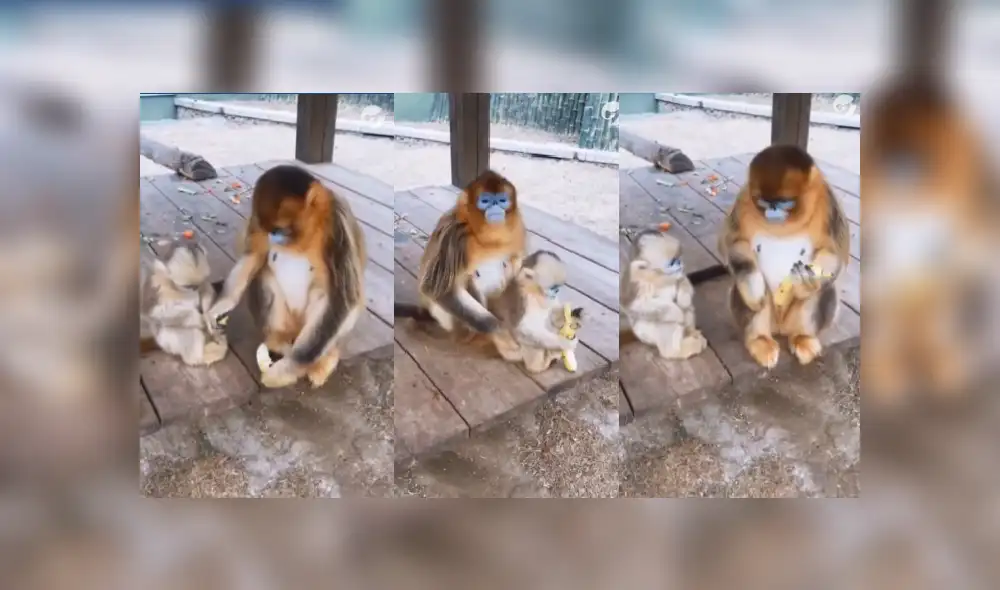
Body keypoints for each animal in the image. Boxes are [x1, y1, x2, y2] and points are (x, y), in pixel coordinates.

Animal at [207, 164, 367, 389]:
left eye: (279, 229)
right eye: (270, 229)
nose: (272, 236)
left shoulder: (338, 222)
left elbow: (345, 297)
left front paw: (288, 369)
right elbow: (254, 256)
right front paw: (221, 307)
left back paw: (320, 360)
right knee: (265, 274)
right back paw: (278, 341)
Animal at [394, 169, 527, 334]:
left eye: (502, 200)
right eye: (485, 201)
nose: (495, 206)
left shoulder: (517, 227)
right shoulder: (455, 235)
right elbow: (437, 289)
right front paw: (498, 330)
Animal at [620, 229, 708, 359]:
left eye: (678, 257)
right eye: (671, 262)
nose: (680, 263)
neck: (658, 275)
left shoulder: (677, 274)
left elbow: (683, 283)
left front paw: (683, 299)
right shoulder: (638, 281)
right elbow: (637, 306)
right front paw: (677, 313)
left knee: (687, 308)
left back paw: (690, 332)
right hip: (647, 334)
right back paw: (676, 350)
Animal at [717, 144, 850, 369]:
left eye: (784, 202)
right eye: (764, 201)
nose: (772, 212)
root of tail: (779, 326)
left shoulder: (828, 202)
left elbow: (832, 252)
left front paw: (807, 282)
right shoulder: (744, 201)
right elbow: (737, 244)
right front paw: (754, 289)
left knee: (821, 290)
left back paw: (803, 336)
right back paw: (760, 340)